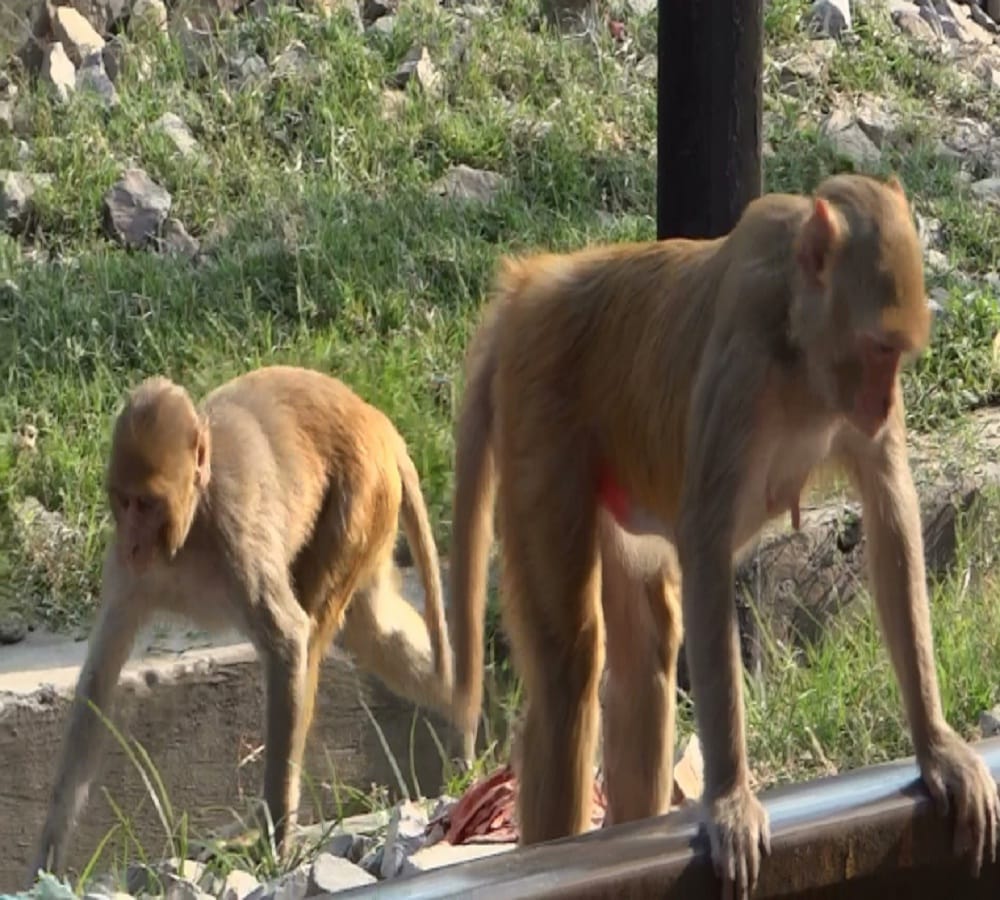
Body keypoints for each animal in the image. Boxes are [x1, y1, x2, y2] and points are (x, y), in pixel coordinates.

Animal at [28, 365, 455, 882]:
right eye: (124, 501)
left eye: (147, 504)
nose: (132, 542)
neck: (189, 530)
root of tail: (375, 421)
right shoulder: (126, 573)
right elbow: (98, 681)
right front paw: (46, 862)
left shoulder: (235, 534)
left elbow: (288, 640)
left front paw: (276, 841)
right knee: (373, 629)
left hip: (360, 495)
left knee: (311, 634)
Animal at [446, 173, 1000, 899]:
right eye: (877, 350)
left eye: (899, 357)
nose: (882, 403)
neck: (798, 340)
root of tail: (535, 281)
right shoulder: (741, 369)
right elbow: (706, 546)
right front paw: (731, 800)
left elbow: (891, 520)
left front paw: (937, 747)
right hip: (540, 409)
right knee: (570, 667)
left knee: (645, 654)